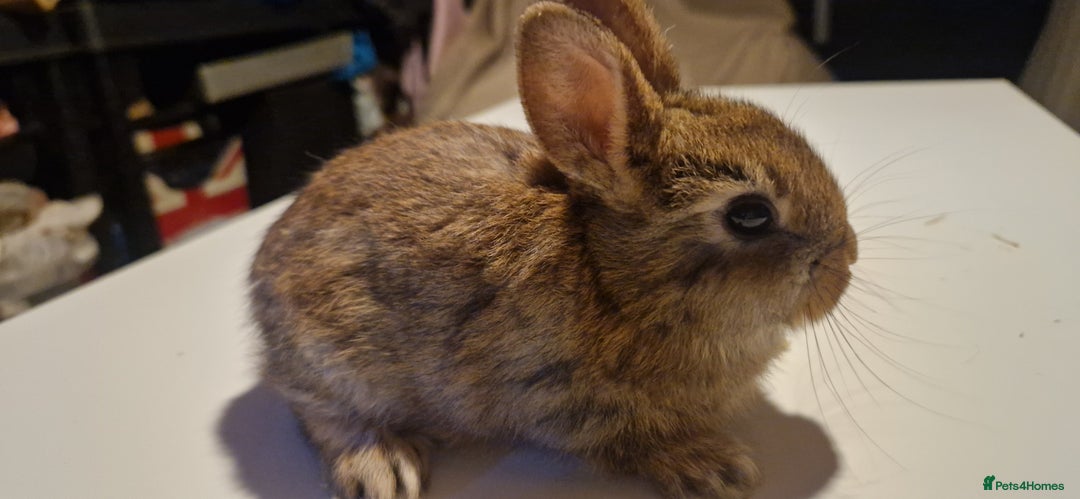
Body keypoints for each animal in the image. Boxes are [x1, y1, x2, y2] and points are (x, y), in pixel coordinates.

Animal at [248, 0, 858, 498]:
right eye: (749, 216)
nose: (844, 264)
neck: (615, 284)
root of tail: (263, 267)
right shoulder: (559, 400)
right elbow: (627, 443)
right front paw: (712, 466)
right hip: (333, 358)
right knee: (321, 413)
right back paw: (382, 463)